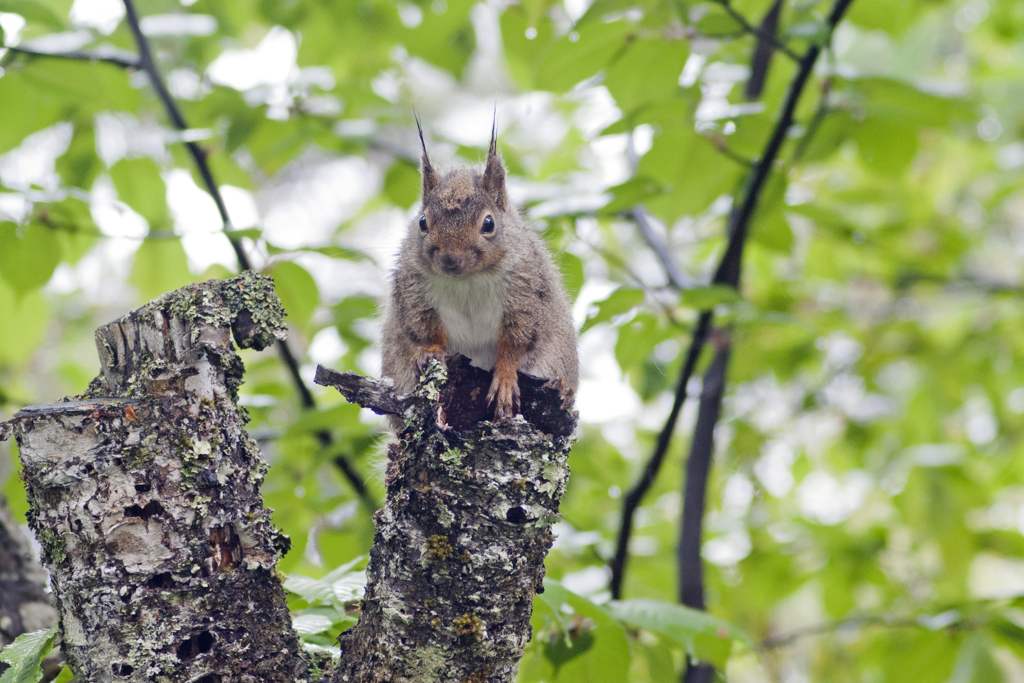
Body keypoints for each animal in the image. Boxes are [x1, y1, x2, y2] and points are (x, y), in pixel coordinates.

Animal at [382, 122, 581, 421]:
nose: (450, 259)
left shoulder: (525, 291)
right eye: (422, 222)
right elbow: (423, 327)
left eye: (489, 223)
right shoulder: (413, 290)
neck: (468, 279)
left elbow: (516, 341)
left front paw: (506, 380)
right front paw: (430, 352)